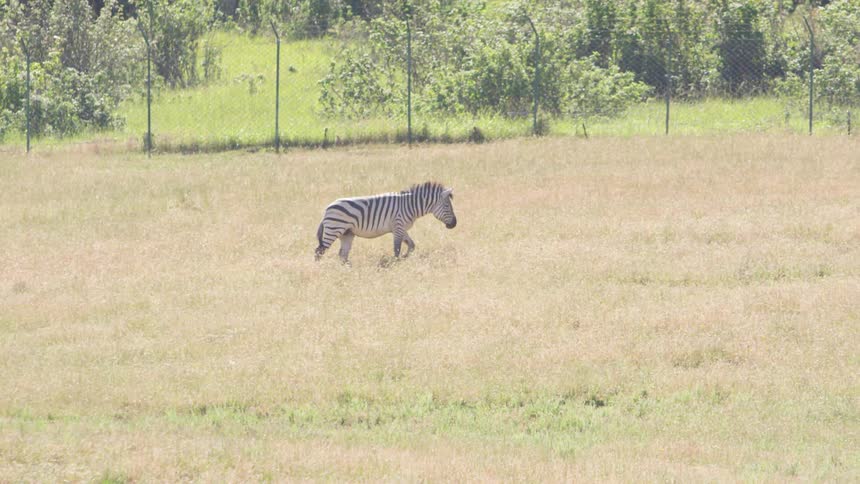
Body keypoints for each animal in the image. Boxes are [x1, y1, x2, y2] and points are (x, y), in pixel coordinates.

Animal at [315, 181, 457, 262]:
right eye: (447, 206)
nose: (454, 224)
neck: (410, 206)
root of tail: (327, 209)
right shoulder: (398, 226)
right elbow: (397, 248)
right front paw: (396, 263)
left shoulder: (401, 228)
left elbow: (411, 245)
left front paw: (404, 258)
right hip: (334, 229)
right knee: (319, 251)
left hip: (347, 233)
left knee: (342, 255)